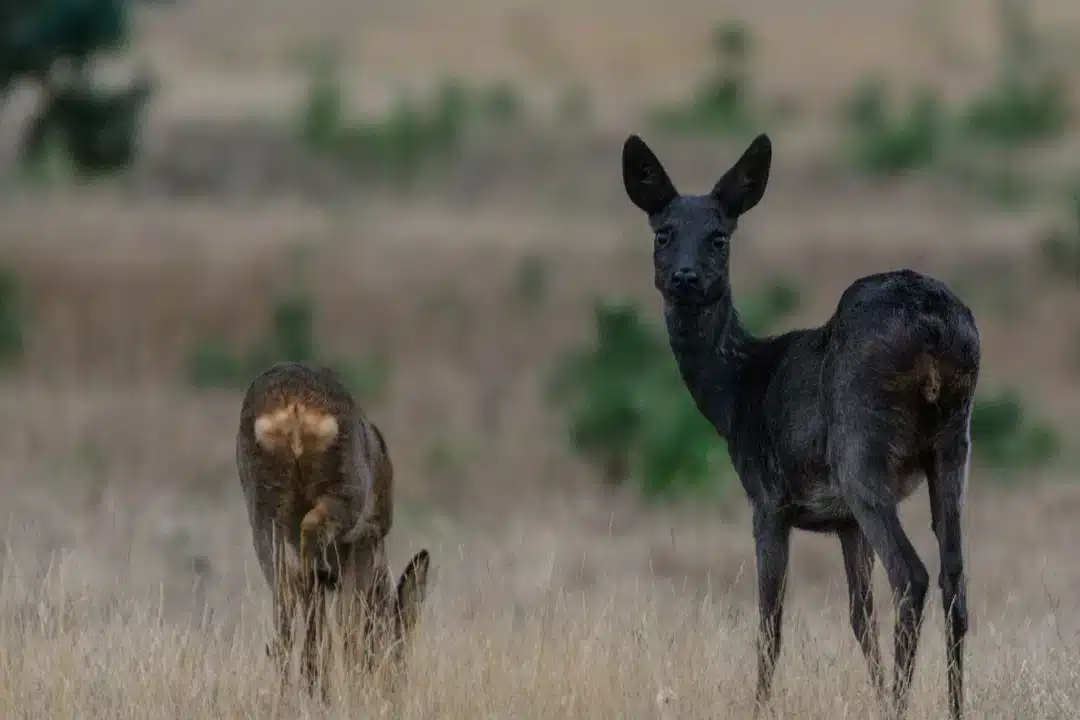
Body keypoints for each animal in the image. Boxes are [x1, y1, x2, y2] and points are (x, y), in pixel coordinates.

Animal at [235, 361, 431, 694]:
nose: (395, 688)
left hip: (263, 511)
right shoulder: (368, 539)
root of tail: (295, 407)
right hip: (347, 487)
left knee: (286, 610)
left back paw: (295, 691)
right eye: (398, 651)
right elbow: (351, 622)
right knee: (313, 551)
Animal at [621, 133, 979, 719]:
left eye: (719, 237)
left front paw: (760, 705)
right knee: (955, 582)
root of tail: (934, 328)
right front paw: (871, 692)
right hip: (953, 444)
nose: (685, 277)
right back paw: (954, 707)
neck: (738, 391)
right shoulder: (844, 522)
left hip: (861, 448)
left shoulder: (768, 498)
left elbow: (770, 621)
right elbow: (859, 617)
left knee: (912, 576)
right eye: (663, 233)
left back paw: (902, 706)